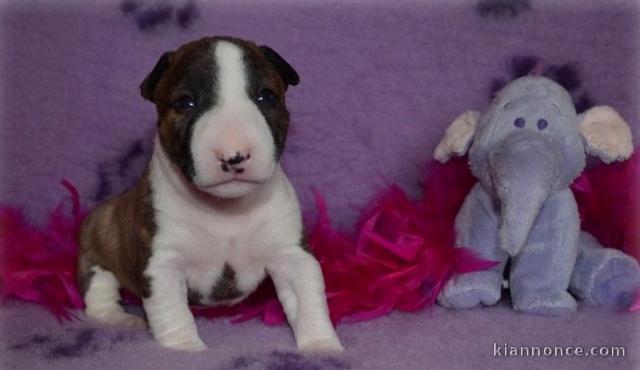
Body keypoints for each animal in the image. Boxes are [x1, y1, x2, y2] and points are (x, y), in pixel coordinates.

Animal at [77, 36, 342, 352]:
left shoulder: (291, 253)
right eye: (185, 102)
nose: (234, 155)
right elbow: (171, 310)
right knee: (99, 292)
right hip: (97, 244)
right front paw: (185, 348)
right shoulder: (163, 262)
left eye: (266, 97)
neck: (226, 211)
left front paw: (321, 346)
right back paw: (120, 319)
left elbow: (307, 298)